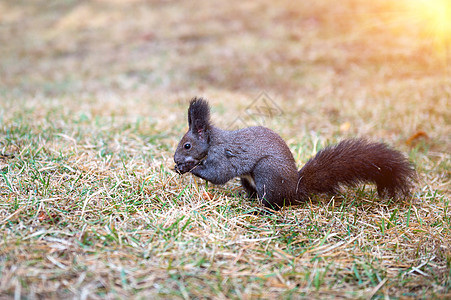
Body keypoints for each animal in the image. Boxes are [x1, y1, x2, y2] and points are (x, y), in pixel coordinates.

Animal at [173, 98, 416, 211]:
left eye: (187, 145)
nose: (175, 160)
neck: (213, 142)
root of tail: (294, 190)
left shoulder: (224, 156)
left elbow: (219, 174)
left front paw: (189, 168)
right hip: (250, 180)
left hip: (267, 173)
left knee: (275, 203)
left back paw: (261, 210)